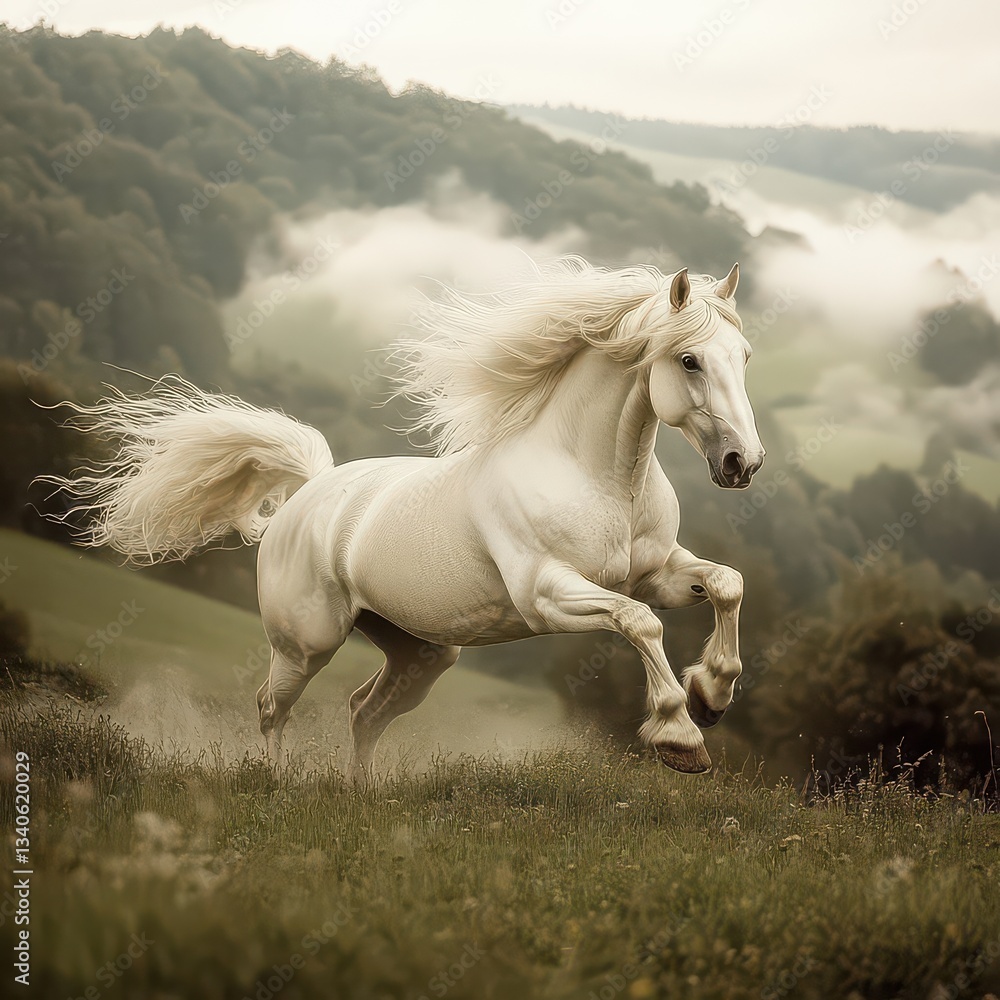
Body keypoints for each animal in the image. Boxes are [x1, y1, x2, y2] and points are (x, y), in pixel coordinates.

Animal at [43, 256, 764, 781]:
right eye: (690, 360)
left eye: (746, 357)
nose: (743, 462)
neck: (593, 474)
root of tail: (307, 494)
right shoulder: (547, 595)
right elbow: (640, 623)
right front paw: (680, 734)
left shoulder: (656, 572)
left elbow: (726, 583)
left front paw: (713, 694)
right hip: (307, 642)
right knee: (273, 707)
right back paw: (277, 786)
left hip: (420, 651)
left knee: (364, 712)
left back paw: (365, 798)